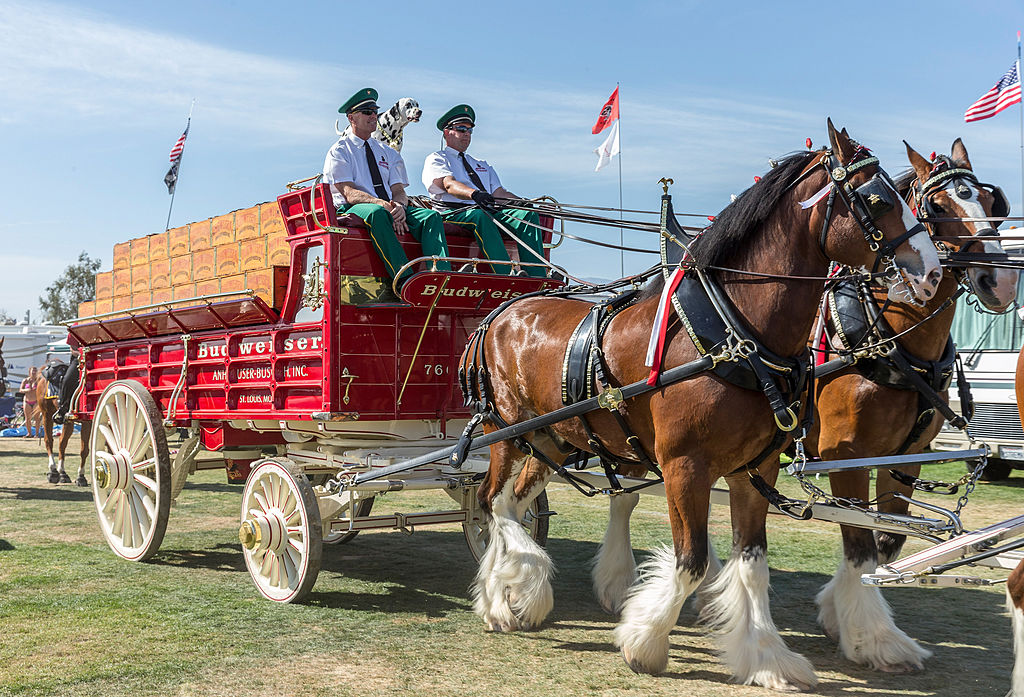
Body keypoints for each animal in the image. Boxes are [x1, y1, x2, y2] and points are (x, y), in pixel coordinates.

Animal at [460, 120, 937, 691]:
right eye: (878, 198)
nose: (932, 273)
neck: (734, 334)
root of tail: (501, 311)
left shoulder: (755, 469)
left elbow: (752, 563)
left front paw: (767, 658)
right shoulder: (685, 466)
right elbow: (690, 561)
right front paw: (643, 641)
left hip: (552, 439)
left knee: (511, 504)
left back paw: (518, 594)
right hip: (506, 432)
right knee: (490, 503)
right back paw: (500, 600)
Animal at [802, 137, 1019, 675]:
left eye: (993, 203)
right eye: (937, 206)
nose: (1002, 283)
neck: (888, 337)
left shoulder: (907, 457)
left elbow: (886, 540)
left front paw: (838, 611)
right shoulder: (845, 456)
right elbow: (858, 540)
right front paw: (872, 641)